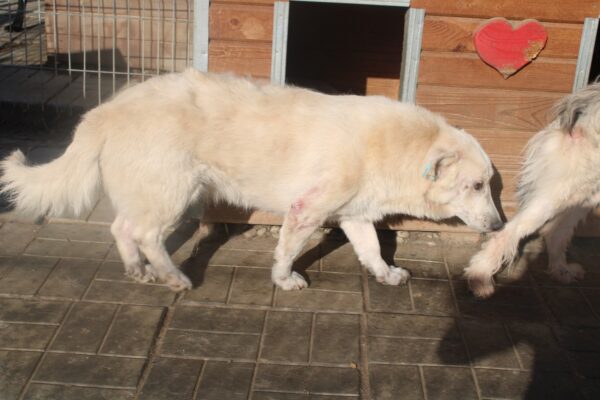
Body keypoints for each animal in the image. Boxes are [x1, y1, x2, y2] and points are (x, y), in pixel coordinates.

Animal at [1, 69, 502, 290]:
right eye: (477, 186)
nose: (499, 225)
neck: (396, 146)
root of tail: (105, 110)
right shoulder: (307, 210)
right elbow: (287, 251)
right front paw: (285, 280)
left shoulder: (354, 215)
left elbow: (372, 249)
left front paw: (386, 275)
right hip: (174, 192)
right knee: (144, 234)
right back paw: (173, 277)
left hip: (150, 192)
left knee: (122, 228)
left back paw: (138, 271)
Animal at [466, 82, 600, 296]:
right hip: (561, 193)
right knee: (510, 231)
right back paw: (480, 277)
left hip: (581, 194)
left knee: (555, 232)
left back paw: (562, 270)